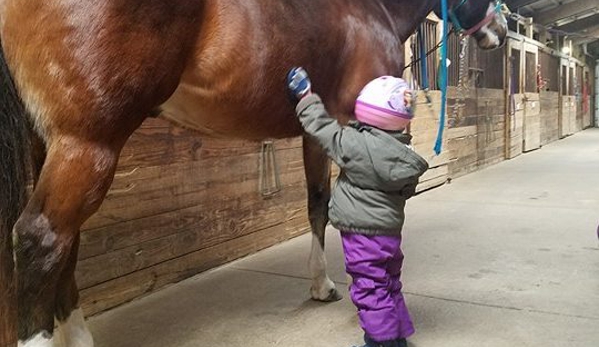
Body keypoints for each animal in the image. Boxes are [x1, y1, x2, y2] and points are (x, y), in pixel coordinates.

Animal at [0, 0, 506, 346]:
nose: (501, 29)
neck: (368, 10)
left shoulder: (315, 131)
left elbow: (316, 203)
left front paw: (319, 284)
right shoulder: (349, 126)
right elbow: (331, 205)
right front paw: (329, 285)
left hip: (54, 143)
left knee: (67, 241)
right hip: (88, 144)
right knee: (42, 239)